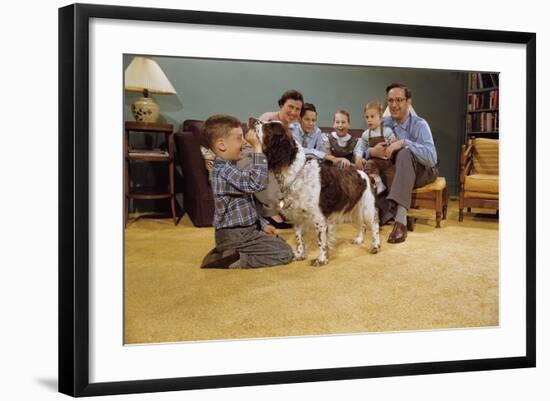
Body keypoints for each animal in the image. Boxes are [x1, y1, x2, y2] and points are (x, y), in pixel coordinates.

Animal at [253, 120, 380, 268]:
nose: (254, 120)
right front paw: (299, 254)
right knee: (363, 225)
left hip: (367, 207)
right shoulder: (297, 216)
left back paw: (375, 245)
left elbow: (321, 241)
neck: (297, 174)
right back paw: (359, 239)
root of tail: (366, 174)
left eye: (268, 127)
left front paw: (321, 259)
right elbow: (299, 238)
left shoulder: (319, 218)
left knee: (375, 225)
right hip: (356, 208)